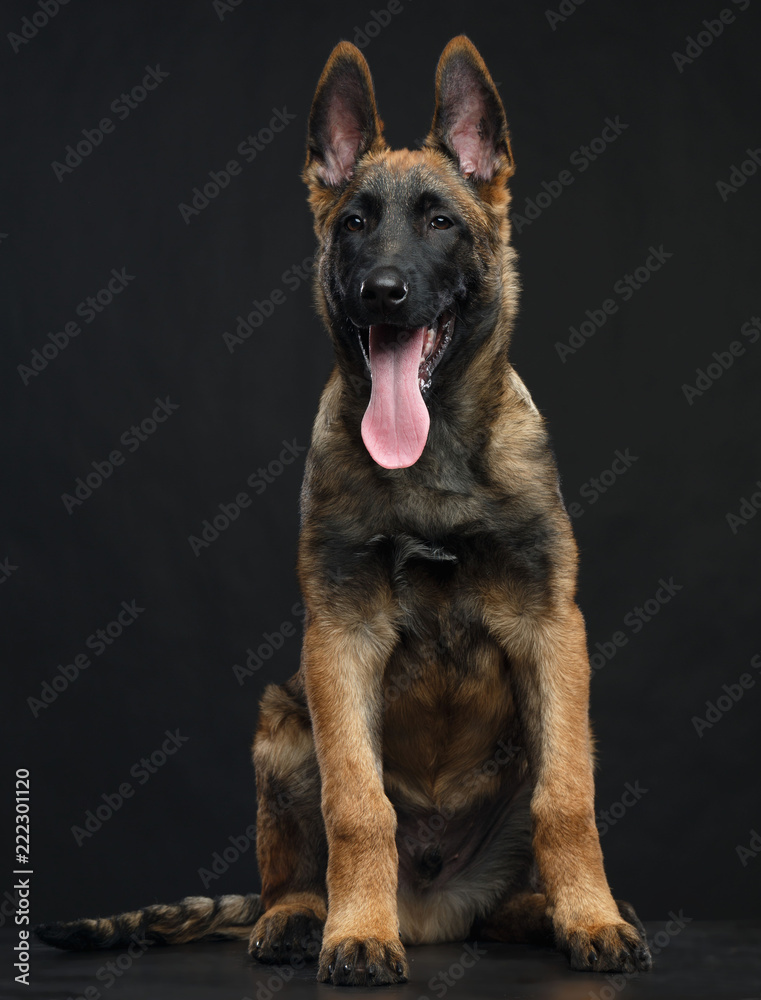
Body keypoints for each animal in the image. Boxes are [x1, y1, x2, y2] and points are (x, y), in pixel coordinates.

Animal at [38, 35, 652, 988]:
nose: (383, 292)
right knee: (295, 867)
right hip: (281, 722)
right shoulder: (339, 639)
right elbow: (358, 807)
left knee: (516, 870)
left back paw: (545, 914)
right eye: (354, 224)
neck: (431, 459)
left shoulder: (552, 631)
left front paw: (589, 916)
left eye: (439, 221)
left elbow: (568, 799)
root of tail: (433, 909)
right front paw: (356, 933)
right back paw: (305, 920)